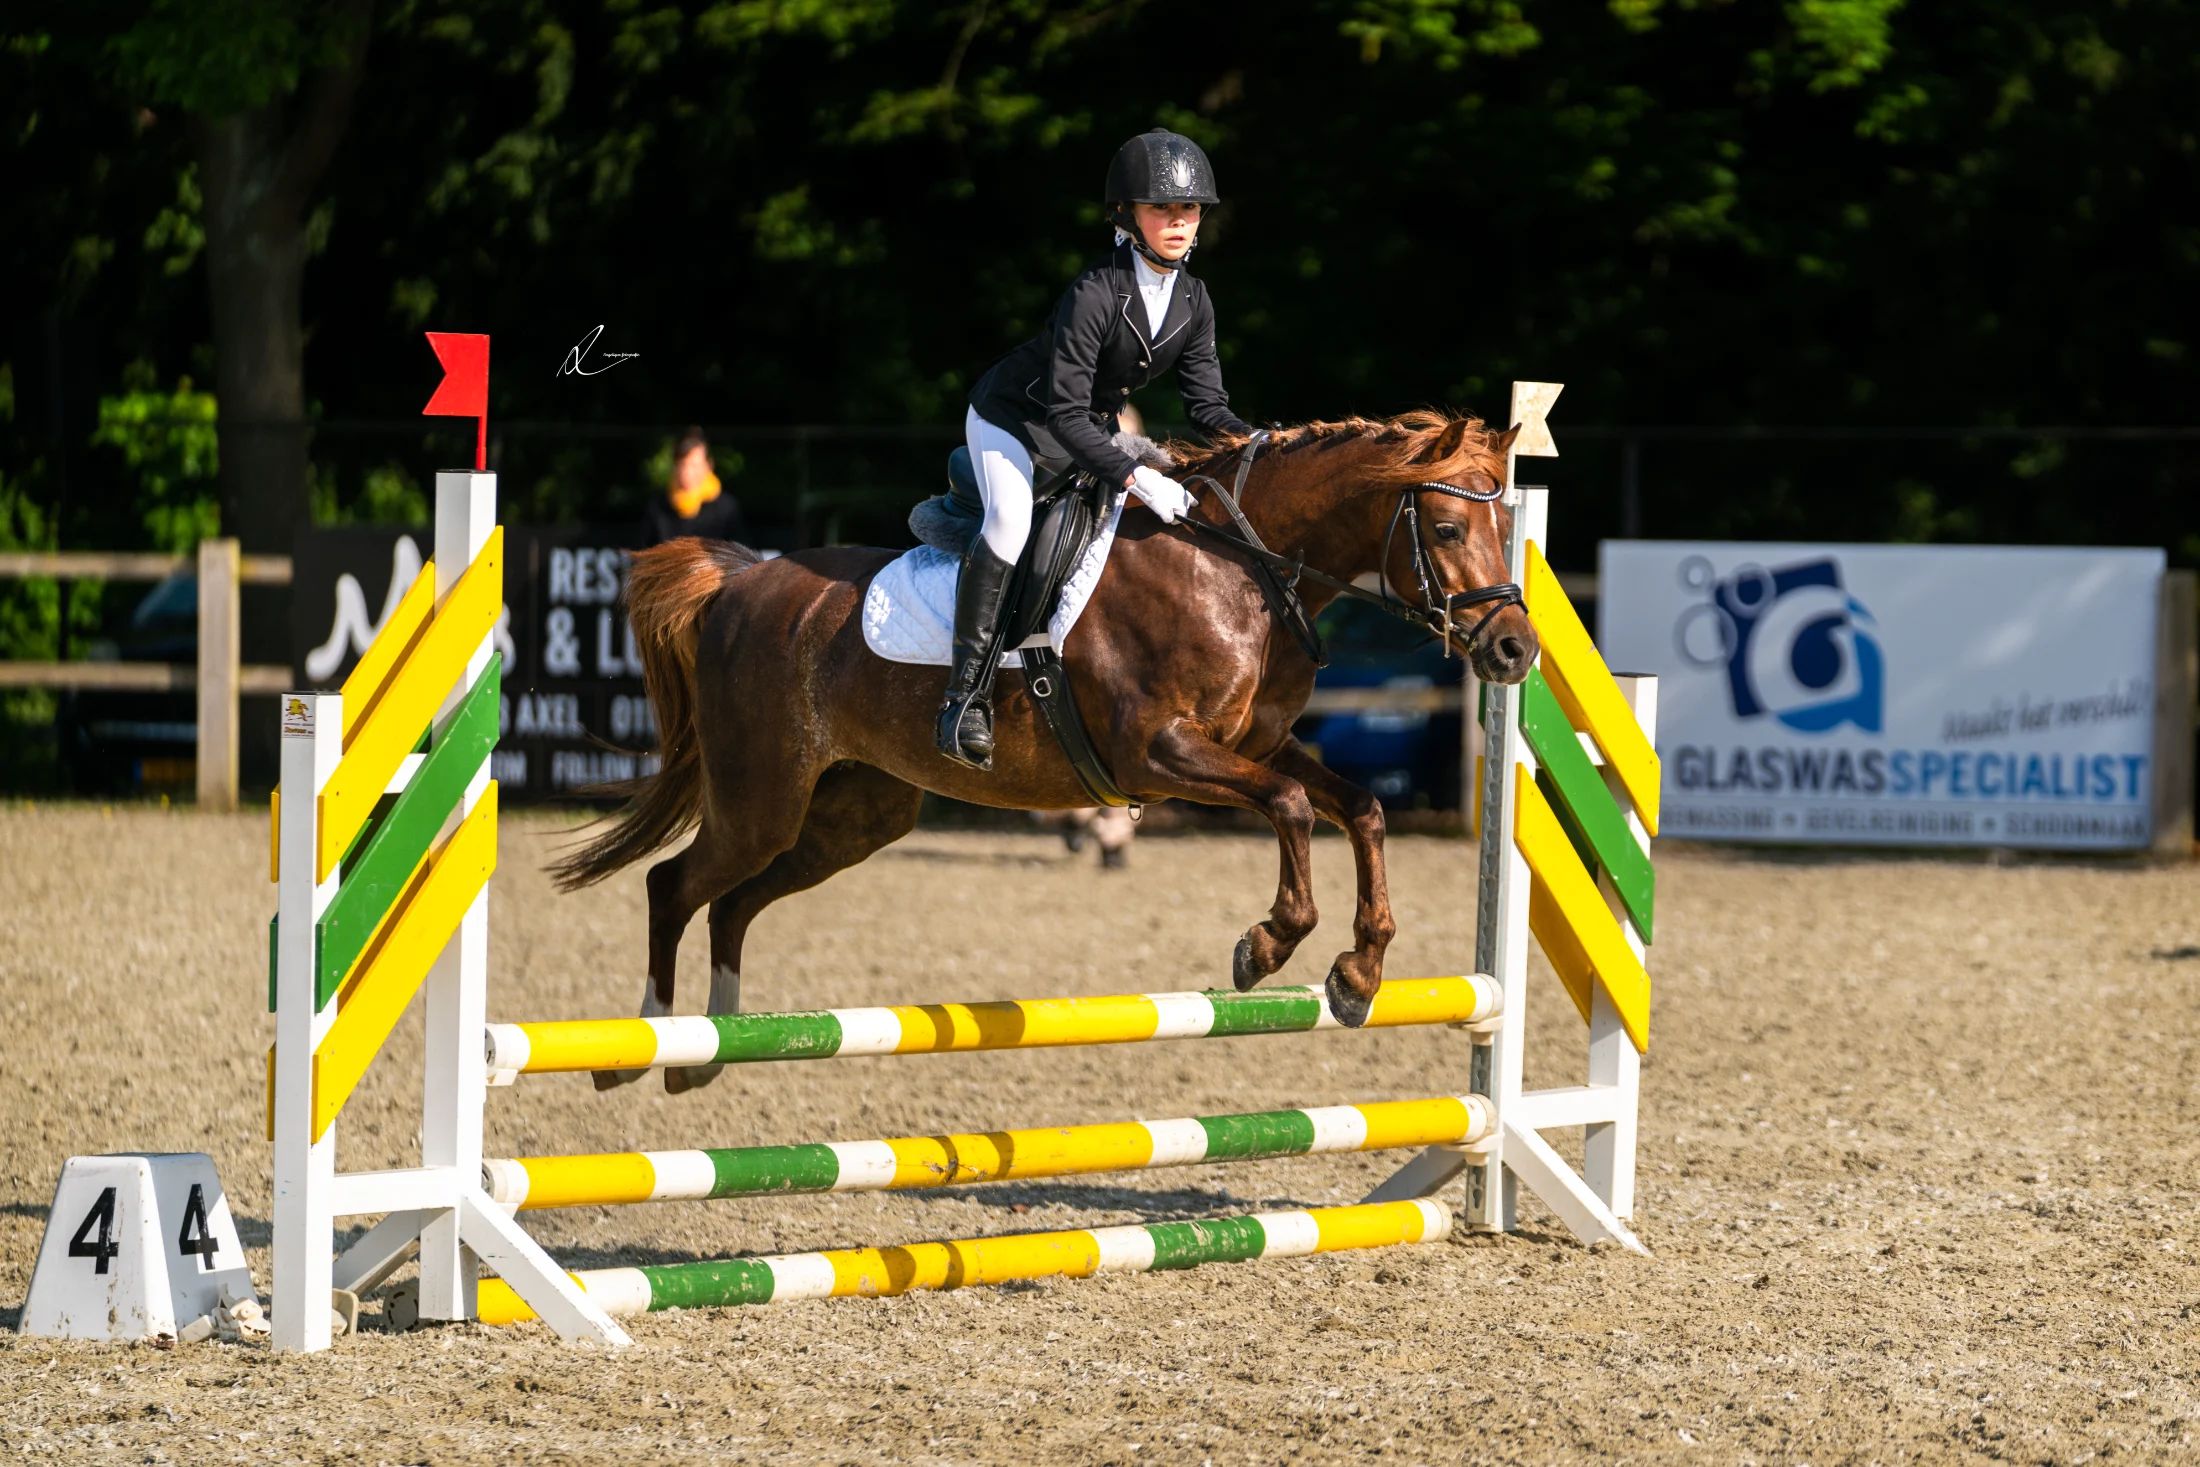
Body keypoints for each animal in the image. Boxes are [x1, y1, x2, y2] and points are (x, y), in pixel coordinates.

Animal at [554, 410, 1540, 1093]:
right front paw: (1266, 946)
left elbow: (1360, 806)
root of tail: (739, 582)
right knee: (674, 885)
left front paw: (1358, 973)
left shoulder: (1255, 744)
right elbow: (1294, 807)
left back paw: (708, 1052)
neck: (1237, 569)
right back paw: (638, 1049)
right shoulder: (1159, 753)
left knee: (731, 902)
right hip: (763, 798)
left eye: (1507, 530)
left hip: (851, 815)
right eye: (1447, 530)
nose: (1514, 650)